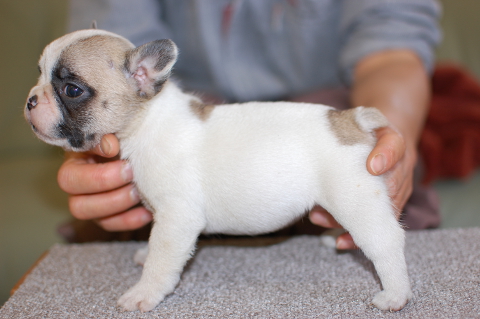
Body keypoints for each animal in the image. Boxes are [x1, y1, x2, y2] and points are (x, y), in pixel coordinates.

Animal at [23, 28, 412, 314]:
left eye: (72, 89)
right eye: (39, 73)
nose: (30, 99)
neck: (147, 120)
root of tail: (349, 118)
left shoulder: (176, 219)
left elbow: (162, 260)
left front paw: (143, 292)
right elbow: (154, 246)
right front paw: (143, 255)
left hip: (355, 199)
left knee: (386, 243)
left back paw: (395, 295)